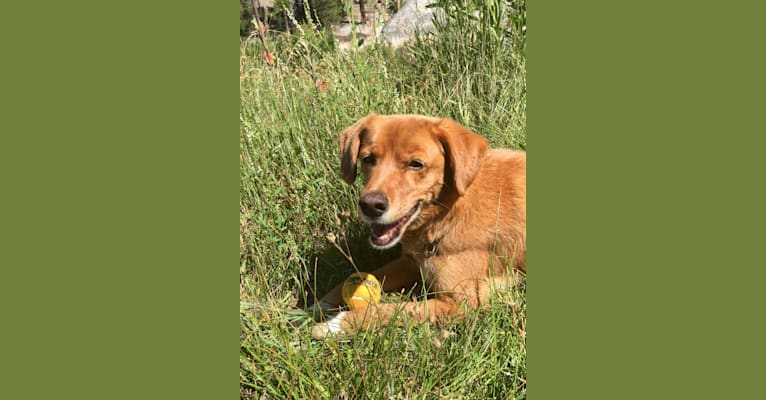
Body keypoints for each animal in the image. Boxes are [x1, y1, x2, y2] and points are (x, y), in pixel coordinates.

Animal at [308, 114, 524, 340]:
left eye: (416, 164)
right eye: (368, 159)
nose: (370, 206)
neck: (450, 211)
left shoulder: (463, 301)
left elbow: (395, 310)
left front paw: (335, 324)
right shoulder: (412, 261)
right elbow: (365, 276)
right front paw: (320, 304)